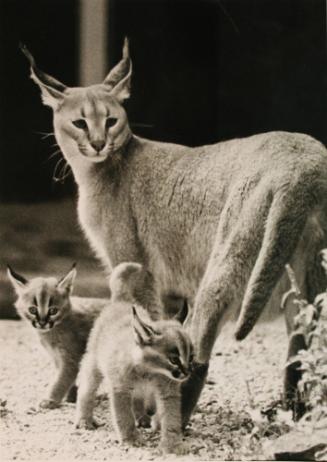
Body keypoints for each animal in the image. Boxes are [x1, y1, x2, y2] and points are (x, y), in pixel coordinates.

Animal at [7, 262, 109, 410]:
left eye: (53, 311)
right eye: (33, 310)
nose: (42, 322)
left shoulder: (71, 358)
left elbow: (61, 380)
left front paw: (50, 400)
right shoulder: (57, 357)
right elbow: (65, 379)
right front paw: (71, 397)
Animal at [75, 262, 193, 452]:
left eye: (191, 357)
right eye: (174, 359)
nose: (187, 373)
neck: (148, 371)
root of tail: (122, 301)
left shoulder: (168, 392)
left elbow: (171, 418)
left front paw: (172, 445)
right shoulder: (120, 388)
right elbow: (124, 415)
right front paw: (130, 439)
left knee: (138, 398)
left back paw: (142, 418)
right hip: (94, 361)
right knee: (87, 388)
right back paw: (84, 419)